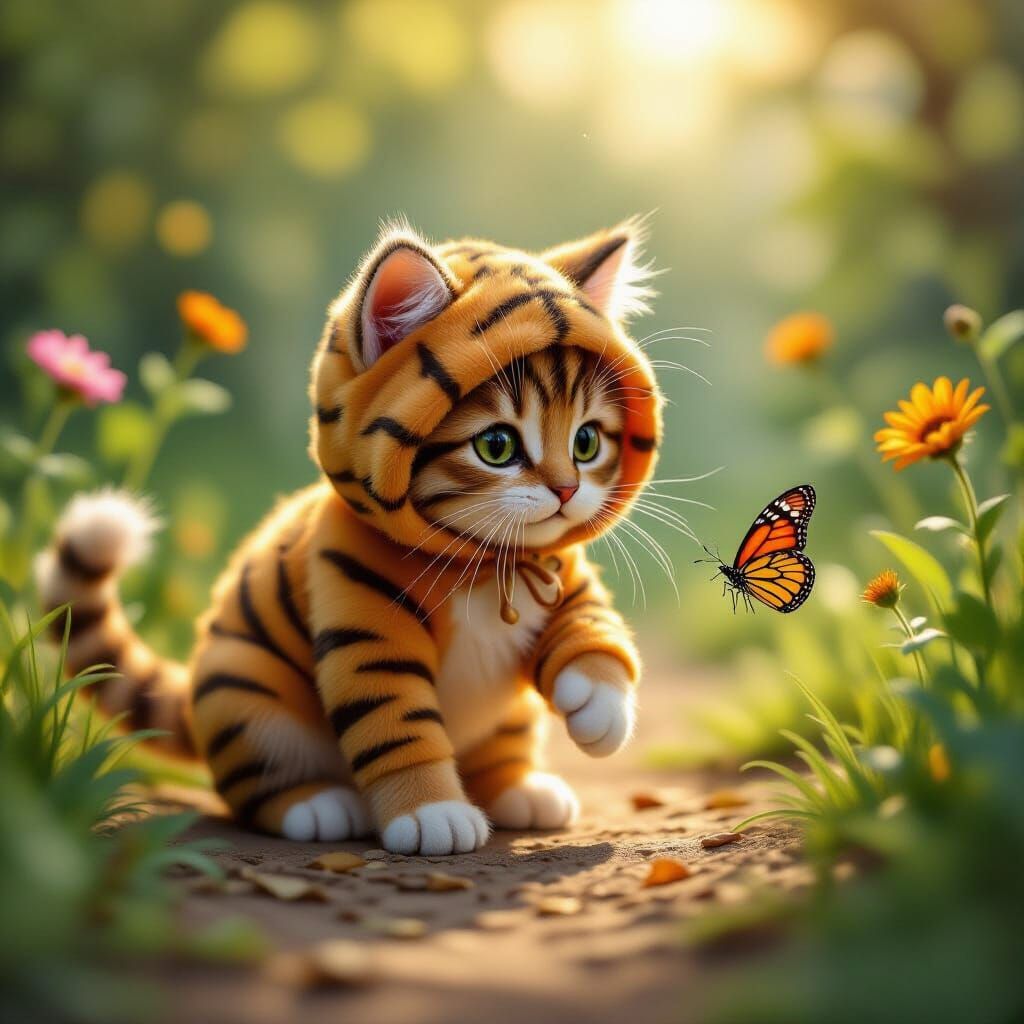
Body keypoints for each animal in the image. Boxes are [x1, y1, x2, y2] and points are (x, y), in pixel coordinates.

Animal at [37, 220, 663, 856]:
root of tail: (192, 694)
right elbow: (395, 720)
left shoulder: (563, 574)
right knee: (258, 784)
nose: (567, 490)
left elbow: (590, 625)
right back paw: (317, 805)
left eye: (586, 442)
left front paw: (603, 708)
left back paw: (520, 790)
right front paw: (430, 811)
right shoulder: (365, 622)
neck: (485, 563)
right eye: (497, 446)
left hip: (508, 716)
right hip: (246, 696)